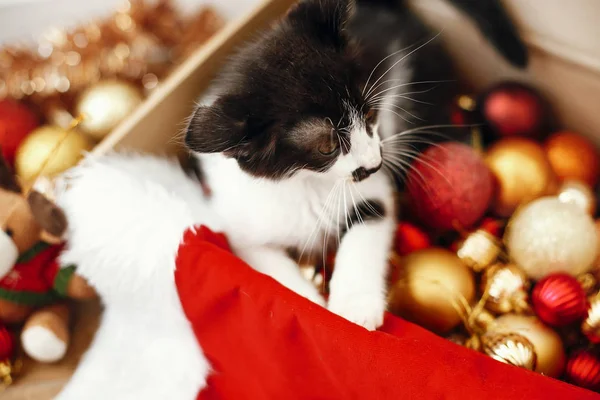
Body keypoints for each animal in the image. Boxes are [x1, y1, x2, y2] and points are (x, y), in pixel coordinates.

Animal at [186, 0, 524, 330]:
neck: (304, 181)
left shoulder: (375, 189)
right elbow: (270, 270)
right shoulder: (243, 226)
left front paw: (354, 307)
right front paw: (309, 305)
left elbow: (367, 227)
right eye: (327, 146)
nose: (376, 163)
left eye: (371, 113)